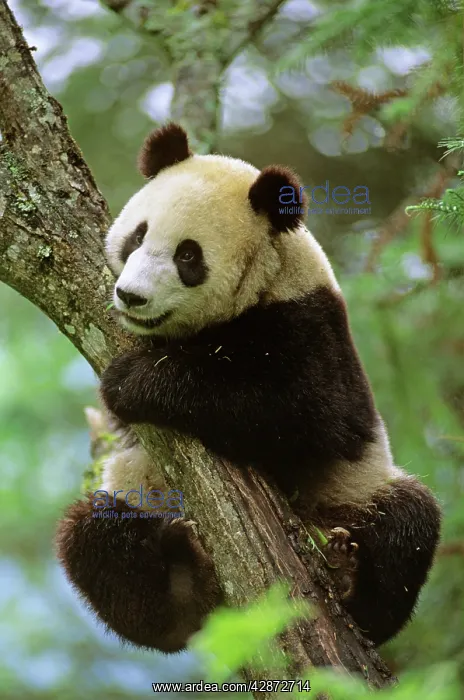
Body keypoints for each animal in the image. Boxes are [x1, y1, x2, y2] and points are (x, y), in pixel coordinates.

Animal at [56, 123, 441, 653]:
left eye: (188, 256)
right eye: (138, 235)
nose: (131, 296)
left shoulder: (309, 325)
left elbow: (305, 414)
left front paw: (135, 381)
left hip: (352, 490)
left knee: (408, 524)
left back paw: (349, 581)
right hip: (138, 493)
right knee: (95, 536)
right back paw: (181, 576)